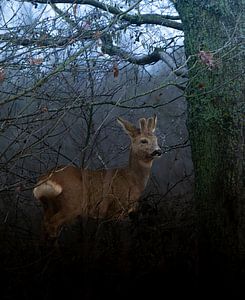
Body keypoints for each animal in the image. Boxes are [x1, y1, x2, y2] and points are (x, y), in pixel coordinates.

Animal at [33, 115, 162, 239]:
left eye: (156, 139)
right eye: (144, 141)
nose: (158, 151)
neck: (132, 180)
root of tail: (45, 179)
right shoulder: (117, 208)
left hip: (49, 206)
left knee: (44, 226)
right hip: (71, 204)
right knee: (52, 225)